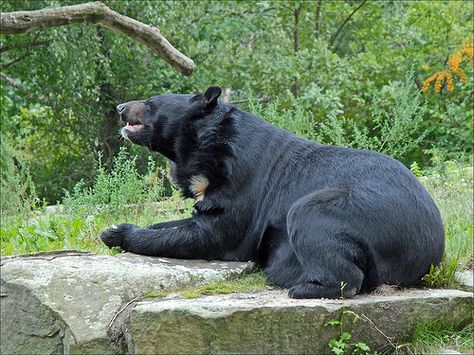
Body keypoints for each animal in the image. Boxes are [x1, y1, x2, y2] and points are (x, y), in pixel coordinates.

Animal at [100, 87, 444, 300]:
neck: (205, 146)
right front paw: (114, 228)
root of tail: (430, 249)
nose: (120, 108)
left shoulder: (241, 182)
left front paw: (118, 234)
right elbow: (177, 223)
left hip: (352, 210)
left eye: (150, 104)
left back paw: (300, 287)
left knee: (317, 230)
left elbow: (214, 233)